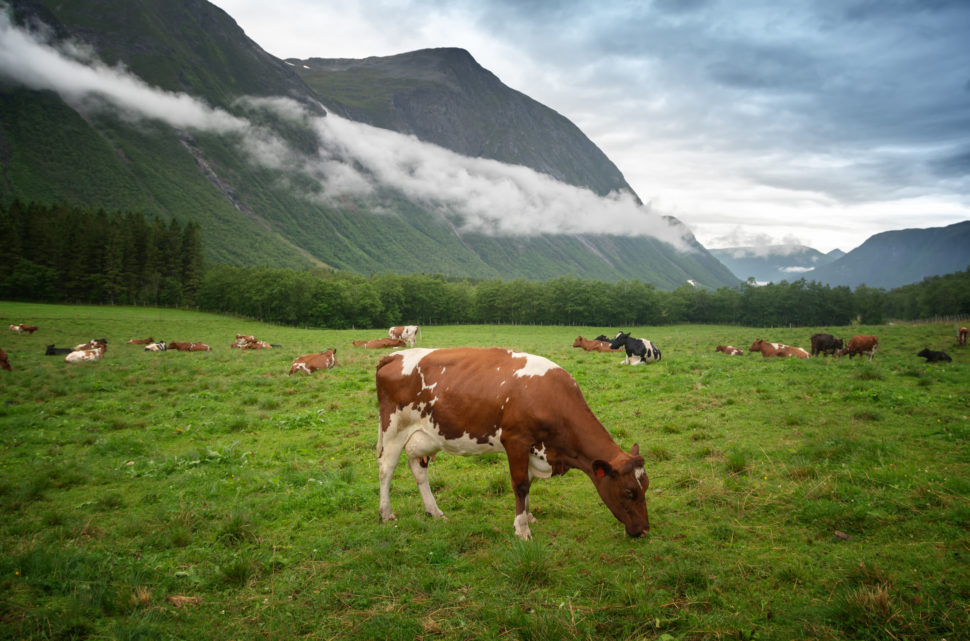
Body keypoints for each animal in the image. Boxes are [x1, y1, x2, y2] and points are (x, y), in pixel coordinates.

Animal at [374, 348, 648, 536]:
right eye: (628, 491)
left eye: (645, 486)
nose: (645, 530)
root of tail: (395, 355)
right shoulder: (516, 440)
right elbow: (520, 485)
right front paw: (521, 528)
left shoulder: (534, 449)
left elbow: (528, 483)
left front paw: (529, 516)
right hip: (393, 430)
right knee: (386, 469)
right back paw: (386, 514)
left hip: (424, 436)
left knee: (419, 470)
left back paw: (434, 511)